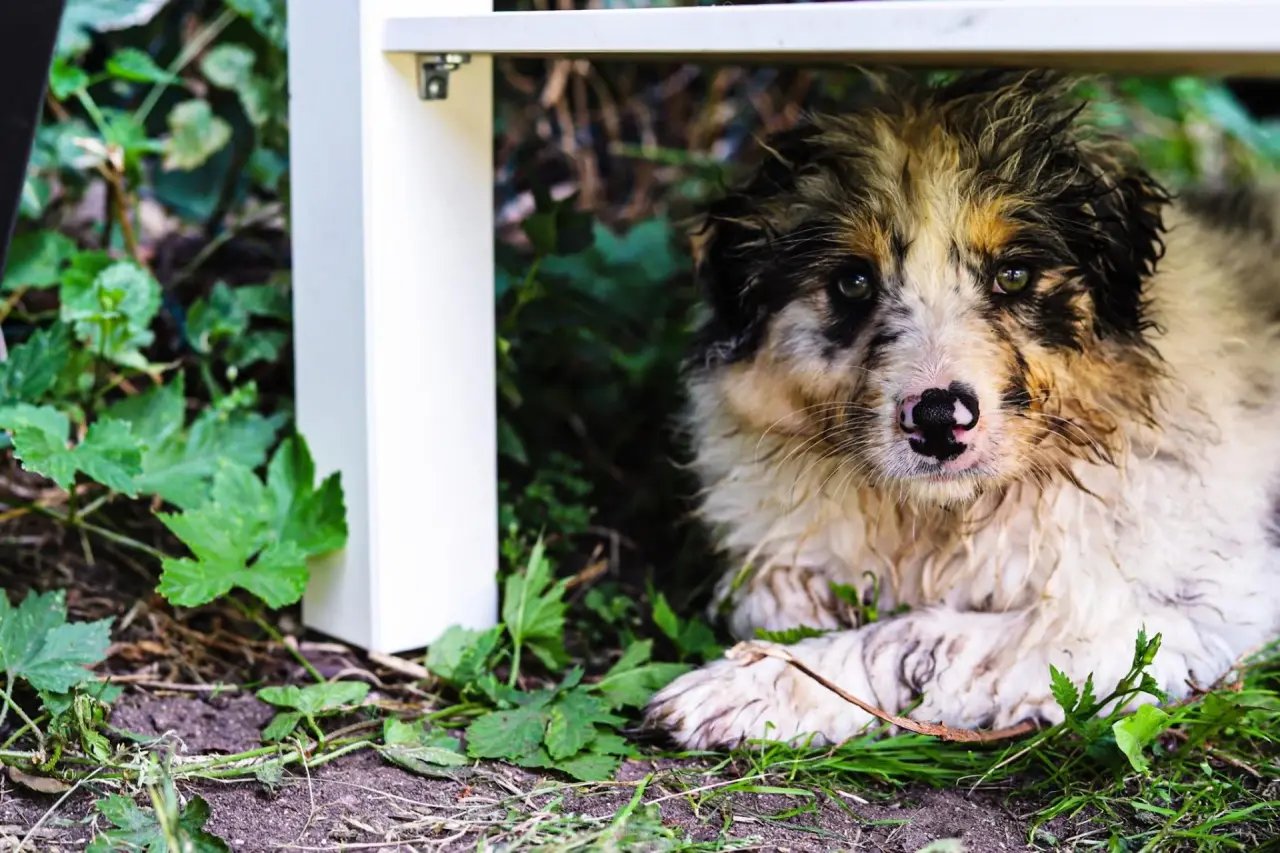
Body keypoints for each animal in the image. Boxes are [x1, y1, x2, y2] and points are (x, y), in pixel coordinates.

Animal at [644, 70, 1280, 749]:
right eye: (852, 282)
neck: (943, 520)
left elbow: (918, 637)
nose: (938, 421)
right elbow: (761, 588)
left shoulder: (1182, 611)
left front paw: (746, 688)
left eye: (1015, 274)